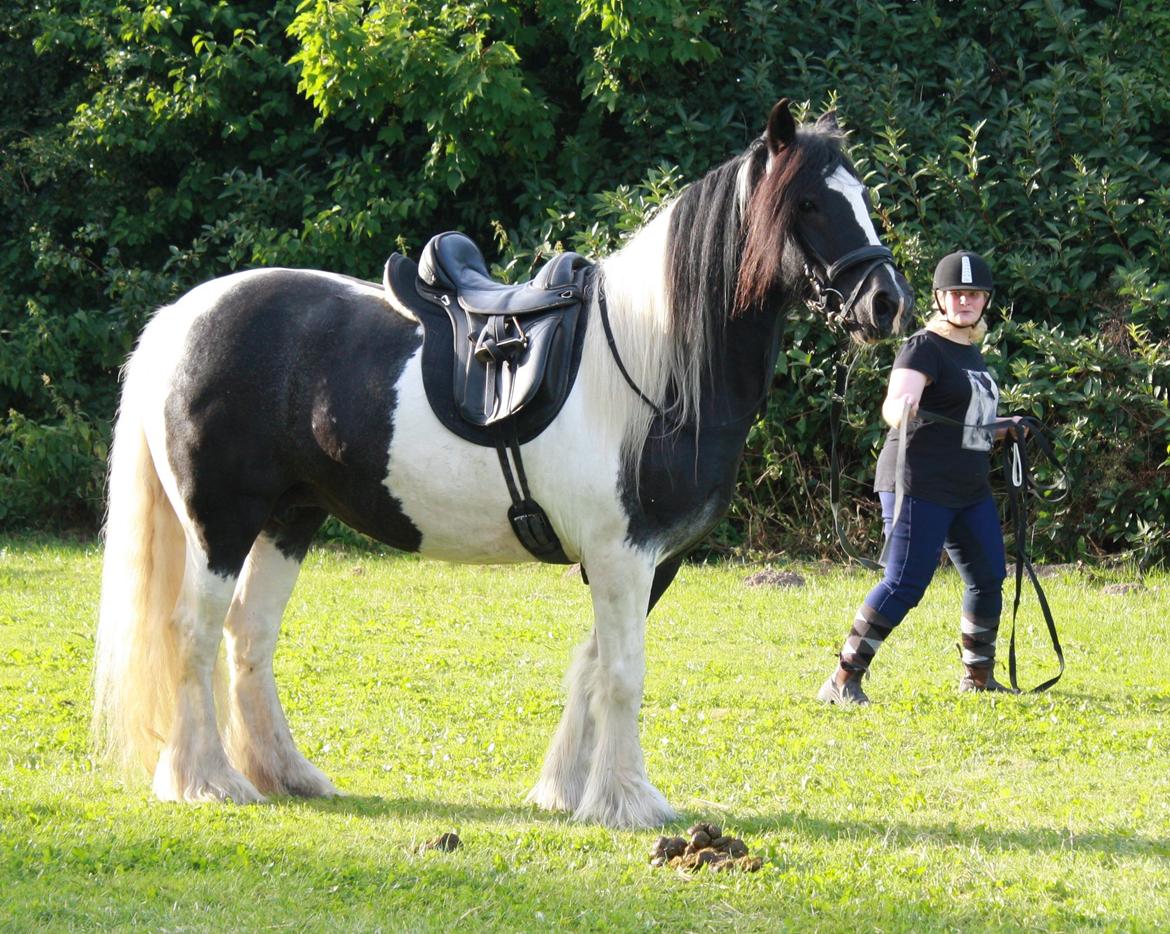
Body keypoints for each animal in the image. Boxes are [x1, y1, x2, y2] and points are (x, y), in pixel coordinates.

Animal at [93, 98, 912, 828]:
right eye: (808, 202)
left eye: (863, 197)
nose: (887, 303)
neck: (655, 364)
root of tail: (182, 319)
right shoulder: (623, 556)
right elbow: (622, 674)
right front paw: (627, 802)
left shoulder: (647, 563)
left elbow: (592, 665)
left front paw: (568, 791)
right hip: (222, 525)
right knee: (193, 635)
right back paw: (207, 782)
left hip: (290, 519)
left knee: (248, 637)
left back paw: (286, 774)